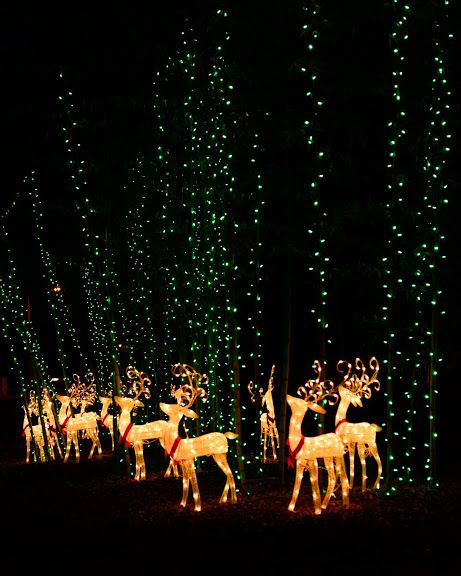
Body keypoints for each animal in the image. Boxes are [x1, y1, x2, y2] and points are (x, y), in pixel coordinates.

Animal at [332, 356, 382, 490]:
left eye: (346, 391)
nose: (339, 387)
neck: (340, 421)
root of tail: (374, 428)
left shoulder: (345, 441)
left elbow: (342, 463)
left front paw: (342, 485)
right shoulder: (352, 442)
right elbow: (352, 462)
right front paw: (350, 485)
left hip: (372, 442)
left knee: (379, 463)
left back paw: (374, 487)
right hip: (363, 443)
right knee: (365, 463)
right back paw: (365, 488)